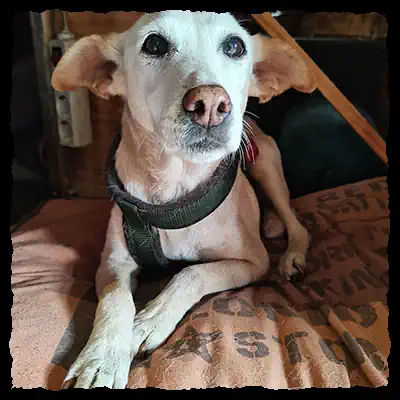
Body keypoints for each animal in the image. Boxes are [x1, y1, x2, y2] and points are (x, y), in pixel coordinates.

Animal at [52, 10, 316, 390]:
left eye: (235, 46)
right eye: (154, 44)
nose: (210, 104)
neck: (174, 189)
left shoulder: (253, 262)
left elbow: (192, 273)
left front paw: (149, 321)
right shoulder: (112, 263)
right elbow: (116, 299)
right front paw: (100, 358)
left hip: (266, 162)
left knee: (297, 225)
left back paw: (291, 252)